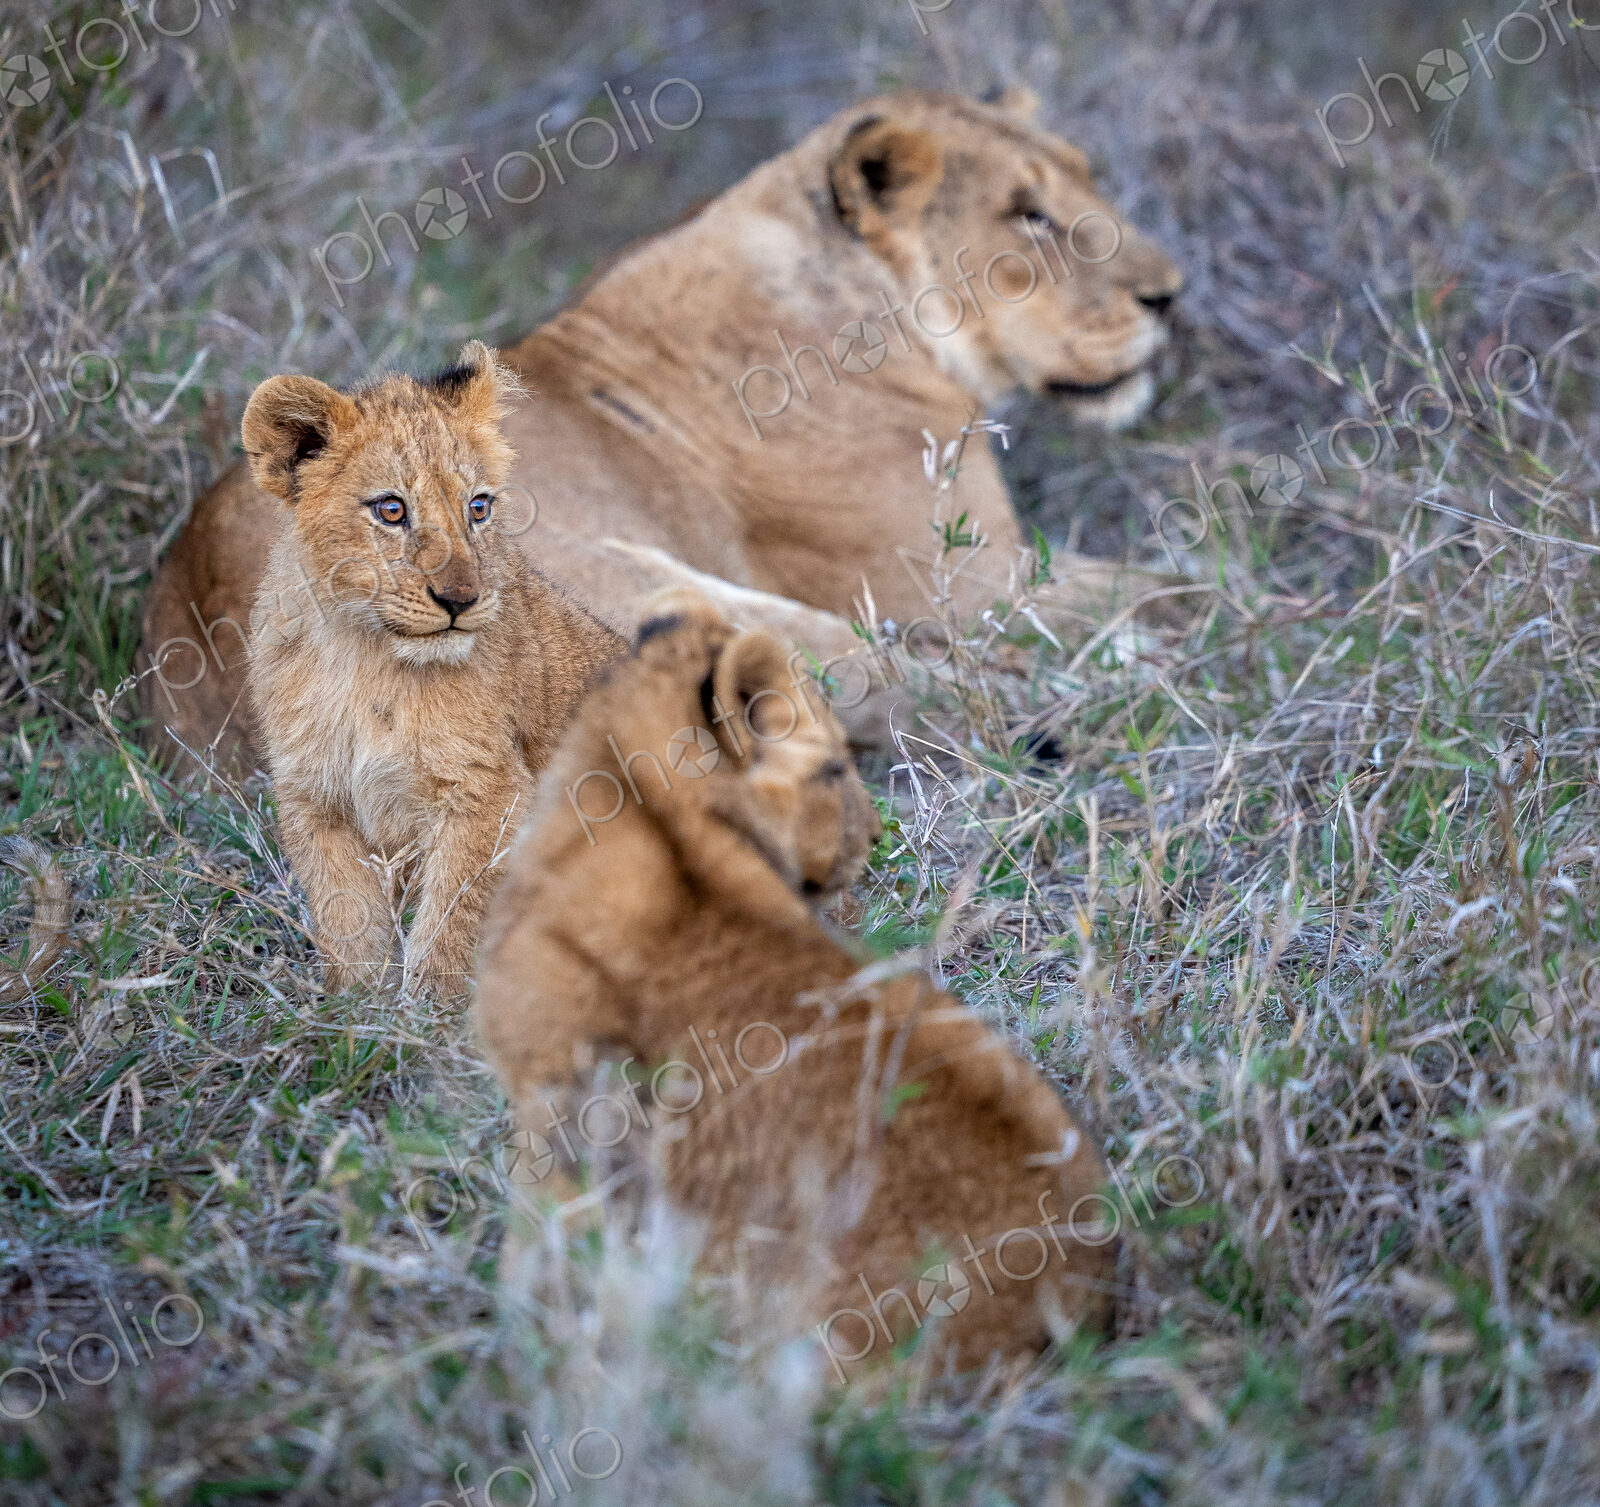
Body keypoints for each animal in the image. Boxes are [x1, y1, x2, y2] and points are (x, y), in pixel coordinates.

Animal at [139, 87, 1182, 777]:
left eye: (1089, 182)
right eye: (1027, 215)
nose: (1170, 296)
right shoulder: (961, 576)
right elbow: (1166, 584)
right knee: (911, 677)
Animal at [243, 341, 622, 996]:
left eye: (479, 507)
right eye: (392, 509)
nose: (460, 600)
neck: (364, 658)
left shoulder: (488, 792)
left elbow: (451, 920)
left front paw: (426, 1011)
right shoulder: (314, 797)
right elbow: (347, 918)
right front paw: (353, 1009)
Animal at [473, 592, 1114, 1379]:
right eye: (837, 769)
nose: (878, 837)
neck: (658, 816)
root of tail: (1086, 1293)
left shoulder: (556, 1116)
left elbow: (534, 1251)